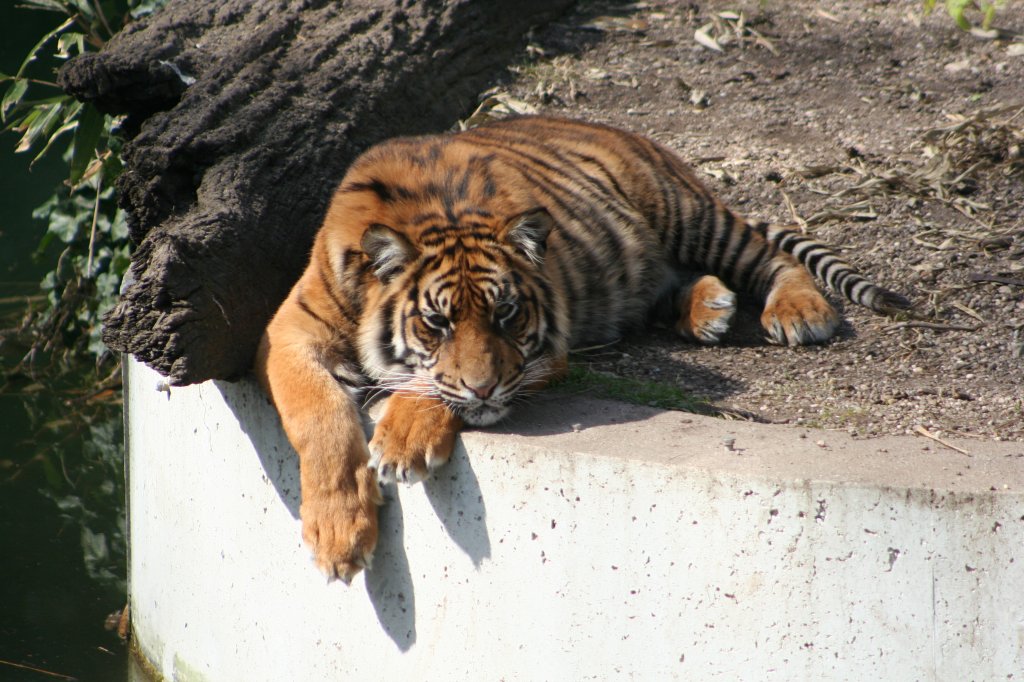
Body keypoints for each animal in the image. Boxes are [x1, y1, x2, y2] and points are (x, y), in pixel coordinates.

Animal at [251, 114, 909, 581]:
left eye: (506, 314)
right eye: (437, 323)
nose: (484, 388)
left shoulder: (543, 353)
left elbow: (426, 387)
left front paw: (403, 440)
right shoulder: (288, 332)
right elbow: (317, 416)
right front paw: (338, 533)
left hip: (685, 214)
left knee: (771, 256)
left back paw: (798, 311)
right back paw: (708, 310)